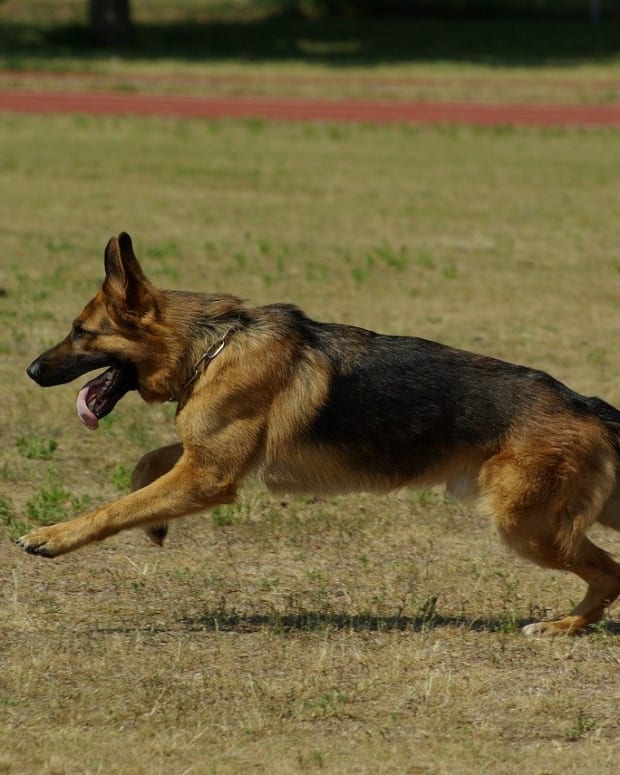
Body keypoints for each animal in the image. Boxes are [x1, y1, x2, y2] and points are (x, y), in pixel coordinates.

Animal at [19, 232, 620, 636]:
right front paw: (155, 524)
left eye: (80, 333)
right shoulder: (206, 458)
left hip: (526, 527)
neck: (210, 345)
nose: (30, 370)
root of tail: (585, 404)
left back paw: (561, 626)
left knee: (610, 572)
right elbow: (146, 468)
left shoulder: (209, 477)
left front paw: (53, 535)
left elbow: (114, 508)